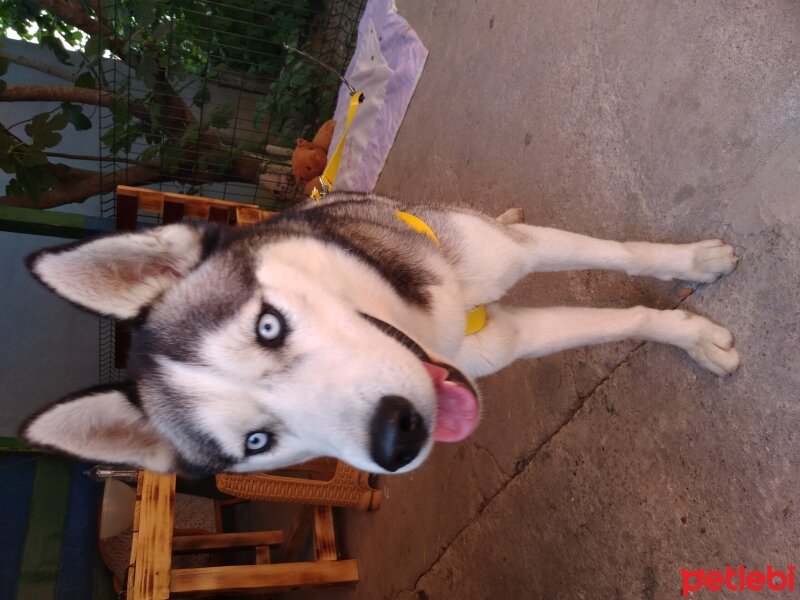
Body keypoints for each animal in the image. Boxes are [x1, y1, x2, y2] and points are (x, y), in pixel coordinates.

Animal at [21, 195, 740, 476]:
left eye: (268, 325)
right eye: (257, 442)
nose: (398, 434)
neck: (435, 329)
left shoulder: (511, 256)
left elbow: (620, 253)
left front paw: (694, 265)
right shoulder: (503, 341)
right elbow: (616, 320)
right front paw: (689, 334)